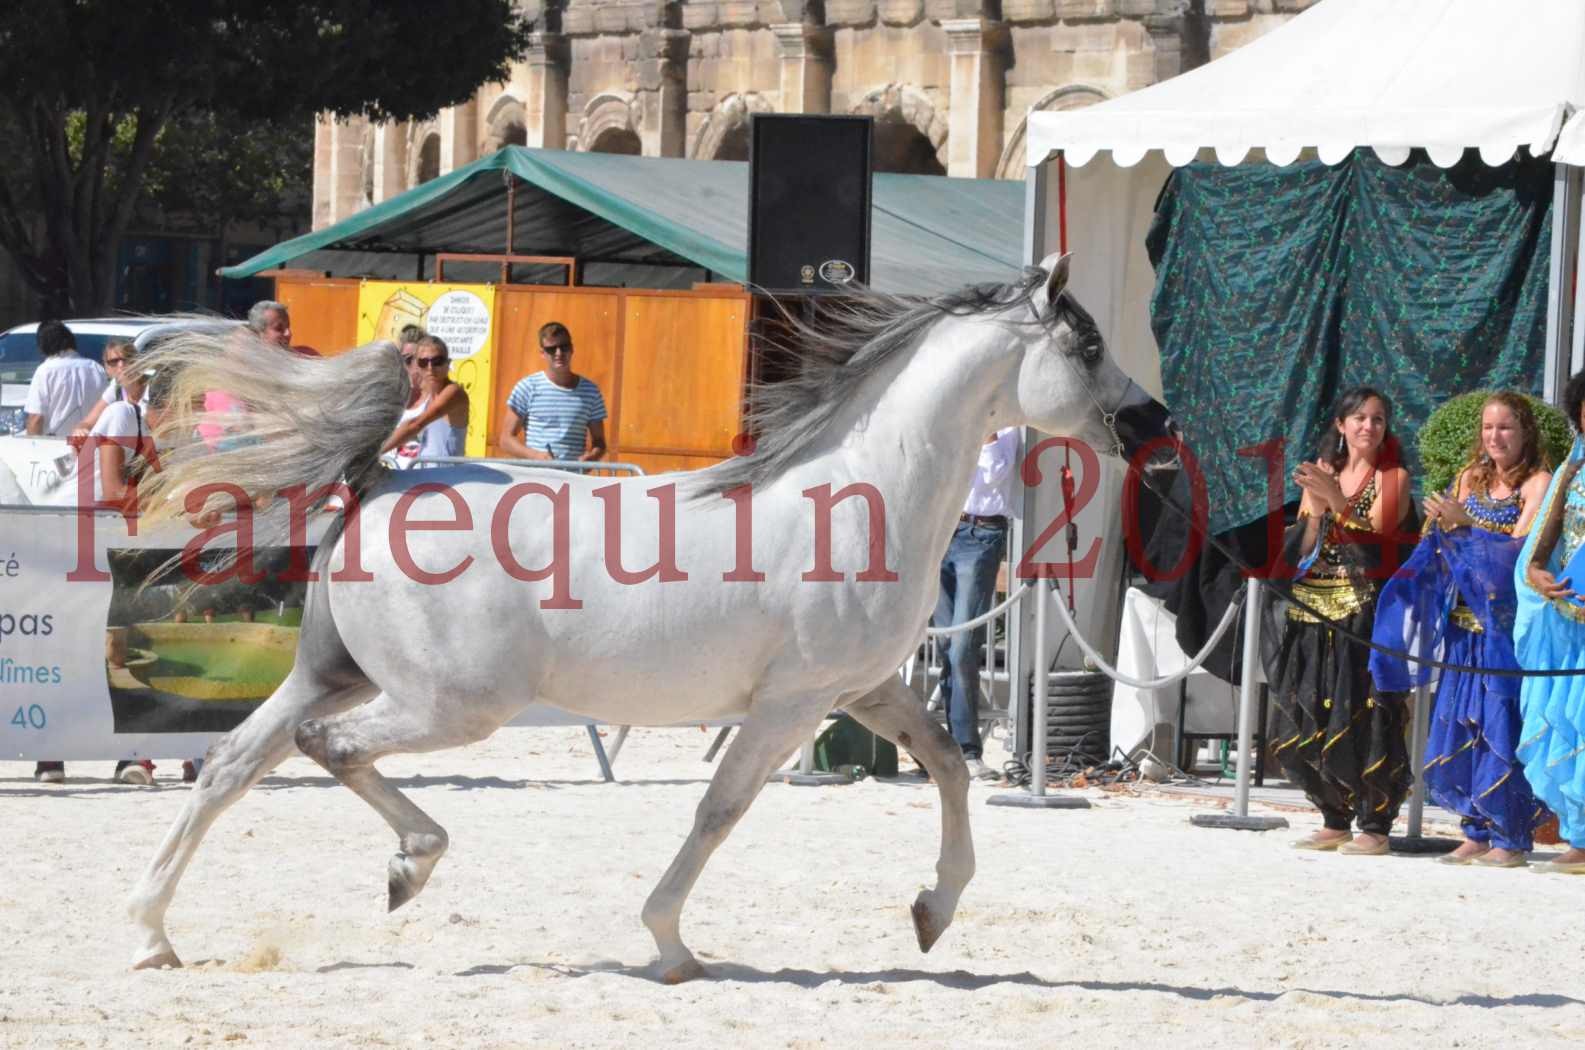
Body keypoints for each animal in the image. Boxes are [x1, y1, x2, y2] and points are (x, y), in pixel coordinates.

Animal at [126, 256, 1179, 989]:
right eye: (1086, 346)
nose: (1155, 426)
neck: (859, 496)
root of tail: (384, 477)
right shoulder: (791, 706)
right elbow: (720, 810)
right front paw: (669, 943)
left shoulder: (865, 689)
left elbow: (952, 767)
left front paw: (932, 910)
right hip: (453, 706)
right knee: (327, 749)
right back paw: (406, 867)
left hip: (333, 673)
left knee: (230, 764)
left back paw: (151, 935)